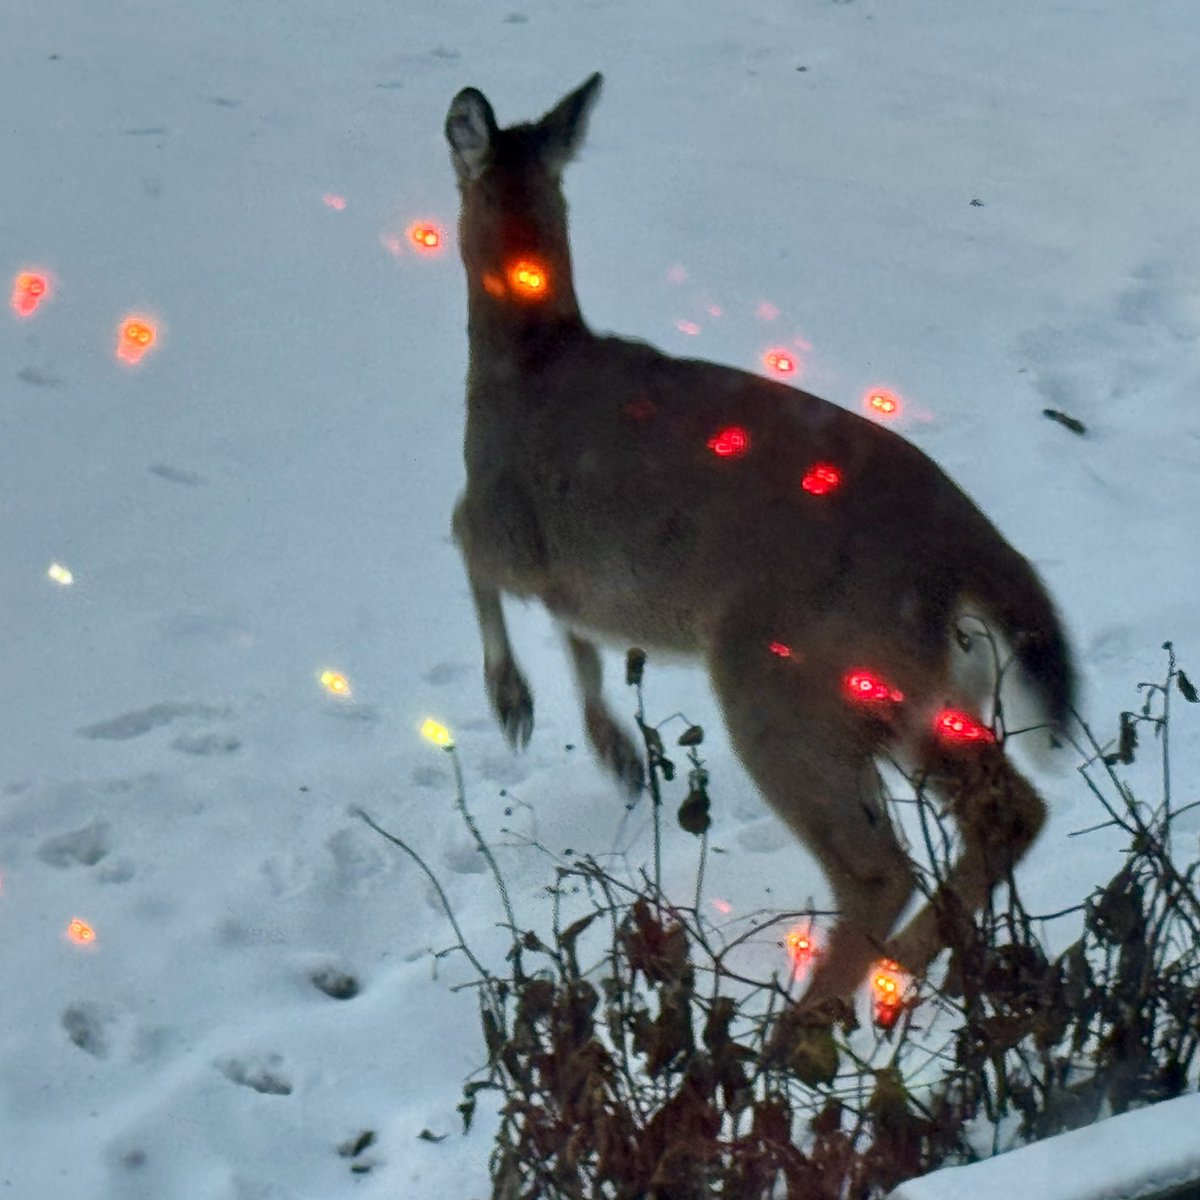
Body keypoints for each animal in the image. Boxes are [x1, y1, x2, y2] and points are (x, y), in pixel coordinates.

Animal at [443, 72, 1076, 1011]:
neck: (525, 357)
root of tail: (971, 550)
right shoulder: (591, 582)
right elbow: (578, 635)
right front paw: (615, 749)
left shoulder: (514, 523)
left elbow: (463, 544)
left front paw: (512, 700)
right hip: (925, 686)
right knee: (1007, 807)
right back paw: (906, 971)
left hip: (784, 673)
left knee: (877, 867)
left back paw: (811, 1018)